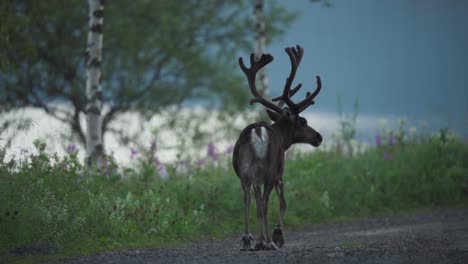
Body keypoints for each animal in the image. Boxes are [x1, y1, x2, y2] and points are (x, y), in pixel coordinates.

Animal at [233, 44, 322, 250]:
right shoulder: (280, 172)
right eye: (303, 121)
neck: (282, 137)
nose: (318, 137)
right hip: (271, 169)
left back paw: (247, 239)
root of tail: (257, 132)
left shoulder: (255, 177)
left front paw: (259, 238)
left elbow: (257, 202)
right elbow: (283, 202)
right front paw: (277, 234)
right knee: (267, 201)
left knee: (247, 198)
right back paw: (268, 243)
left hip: (245, 170)